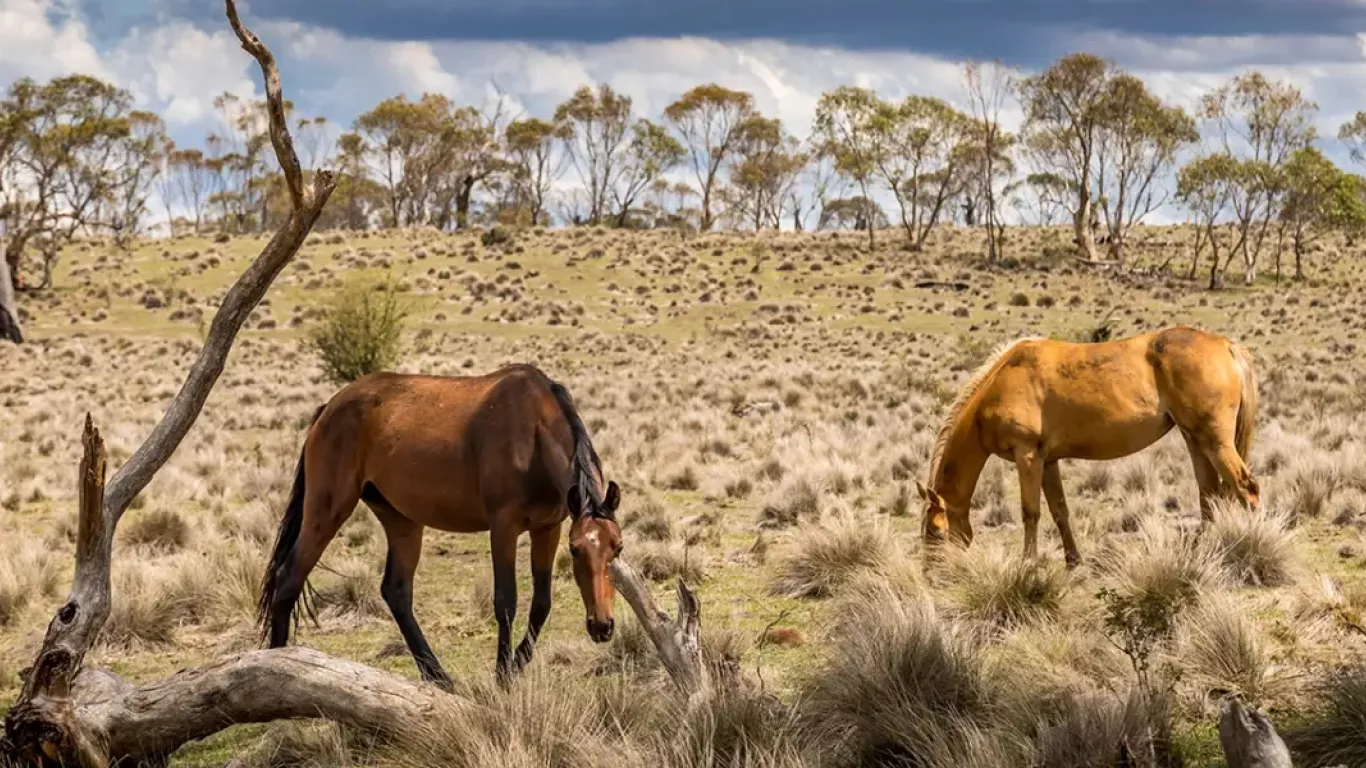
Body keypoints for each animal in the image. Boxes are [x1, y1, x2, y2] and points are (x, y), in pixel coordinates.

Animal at [256, 360, 625, 683]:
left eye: (617, 549)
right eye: (576, 550)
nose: (601, 626)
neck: (532, 432)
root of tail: (328, 408)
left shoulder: (547, 528)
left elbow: (542, 603)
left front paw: (517, 664)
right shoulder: (503, 528)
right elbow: (506, 602)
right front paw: (503, 675)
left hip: (401, 520)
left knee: (396, 592)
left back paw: (438, 676)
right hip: (327, 510)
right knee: (288, 578)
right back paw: (277, 669)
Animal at [917, 322, 1256, 563]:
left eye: (936, 532)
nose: (934, 579)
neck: (1000, 384)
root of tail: (1226, 346)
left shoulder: (1027, 455)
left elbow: (1030, 512)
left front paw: (1028, 564)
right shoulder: (1047, 461)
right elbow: (1059, 511)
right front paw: (1072, 561)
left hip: (1214, 441)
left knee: (1246, 488)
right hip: (1194, 439)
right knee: (1209, 495)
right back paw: (1200, 552)